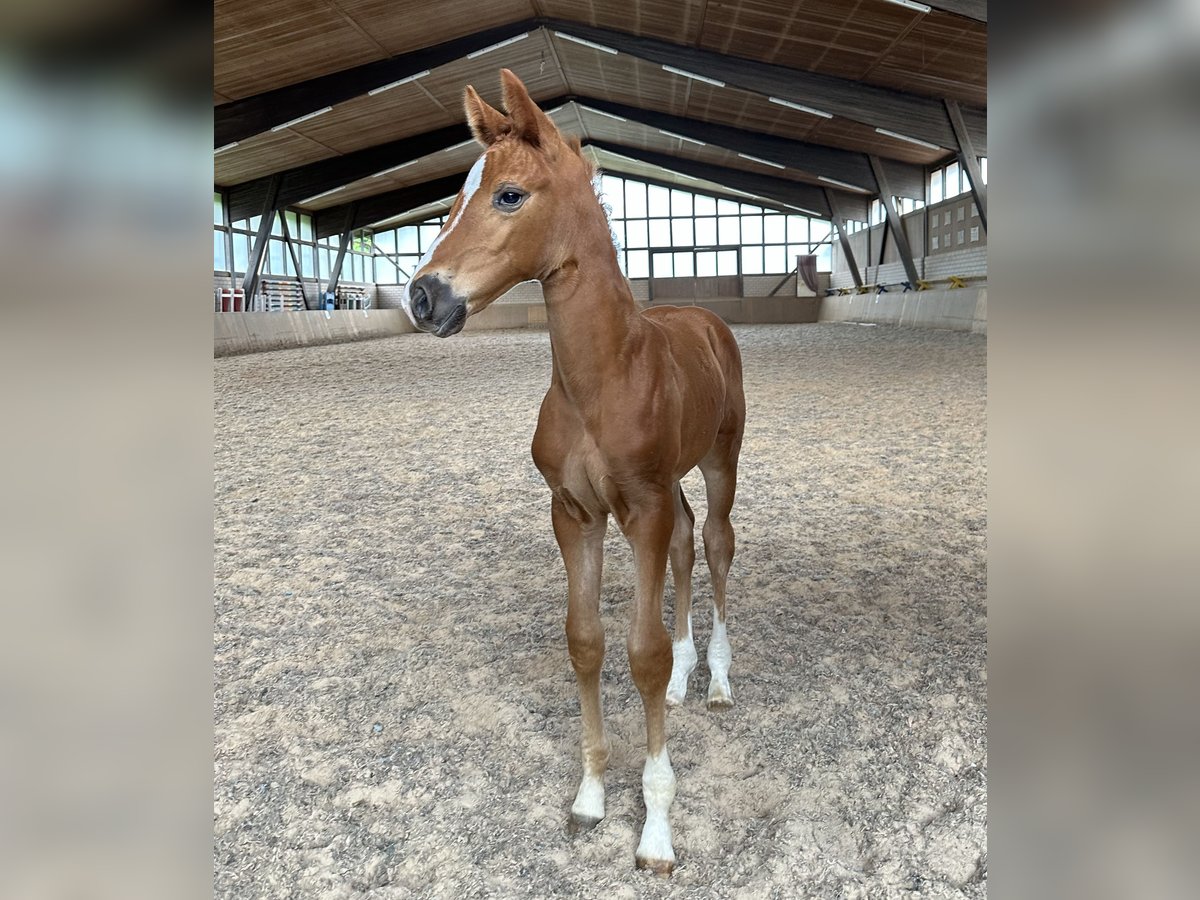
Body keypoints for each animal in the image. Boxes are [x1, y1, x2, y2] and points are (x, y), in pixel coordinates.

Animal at [400, 68, 739, 873]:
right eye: (451, 199)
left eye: (508, 195)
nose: (423, 296)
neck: (603, 377)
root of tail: (704, 317)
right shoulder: (576, 512)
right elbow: (585, 642)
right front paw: (589, 797)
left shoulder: (640, 508)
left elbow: (642, 653)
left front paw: (656, 832)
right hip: (670, 488)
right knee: (687, 544)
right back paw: (690, 678)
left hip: (720, 460)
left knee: (715, 542)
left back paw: (717, 678)